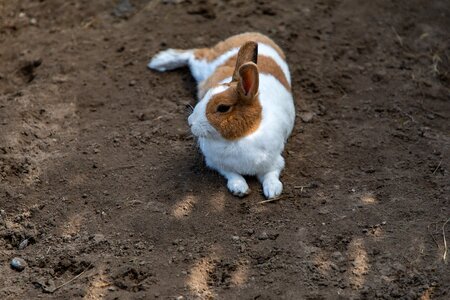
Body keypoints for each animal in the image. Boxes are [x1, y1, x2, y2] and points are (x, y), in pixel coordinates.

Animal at [148, 32, 296, 199]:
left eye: (223, 108)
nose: (190, 122)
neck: (241, 137)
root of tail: (256, 35)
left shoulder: (275, 162)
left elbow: (272, 175)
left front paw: (273, 191)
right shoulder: (217, 163)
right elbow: (232, 174)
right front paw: (239, 188)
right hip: (203, 66)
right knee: (195, 54)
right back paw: (159, 61)